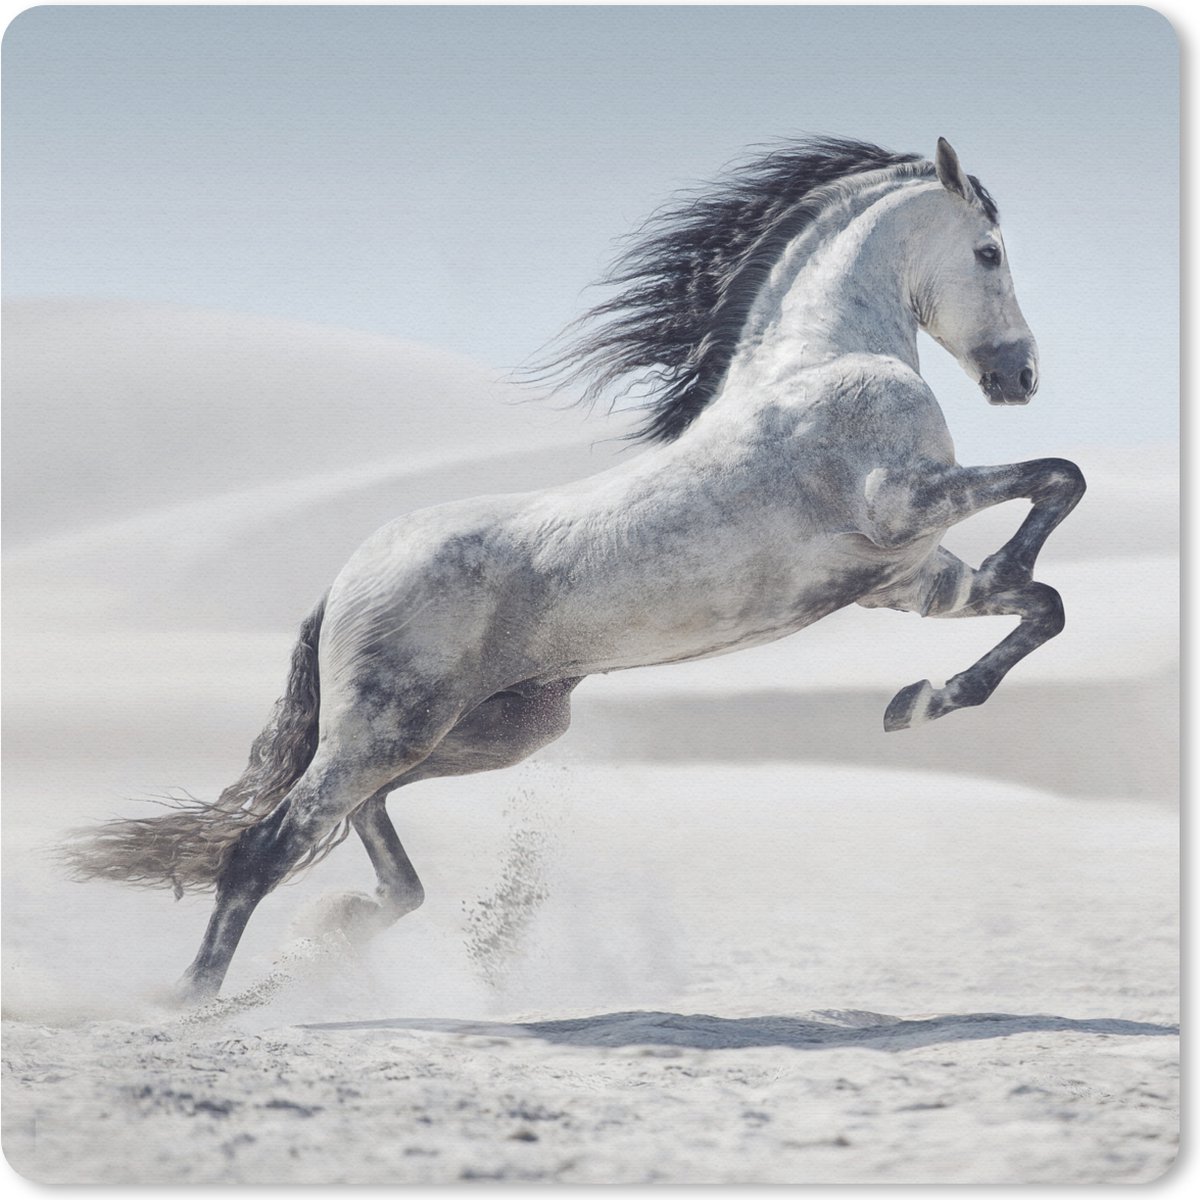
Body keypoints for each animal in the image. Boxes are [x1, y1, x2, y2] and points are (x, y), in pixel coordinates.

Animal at [65, 137, 1085, 1003]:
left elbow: (1043, 603)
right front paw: (950, 656)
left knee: (358, 824)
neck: (822, 362)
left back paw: (339, 932)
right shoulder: (902, 504)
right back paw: (196, 1001)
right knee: (267, 844)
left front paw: (920, 701)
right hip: (393, 728)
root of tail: (345, 578)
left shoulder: (909, 580)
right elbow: (1058, 480)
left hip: (484, 732)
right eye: (989, 251)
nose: (1021, 378)